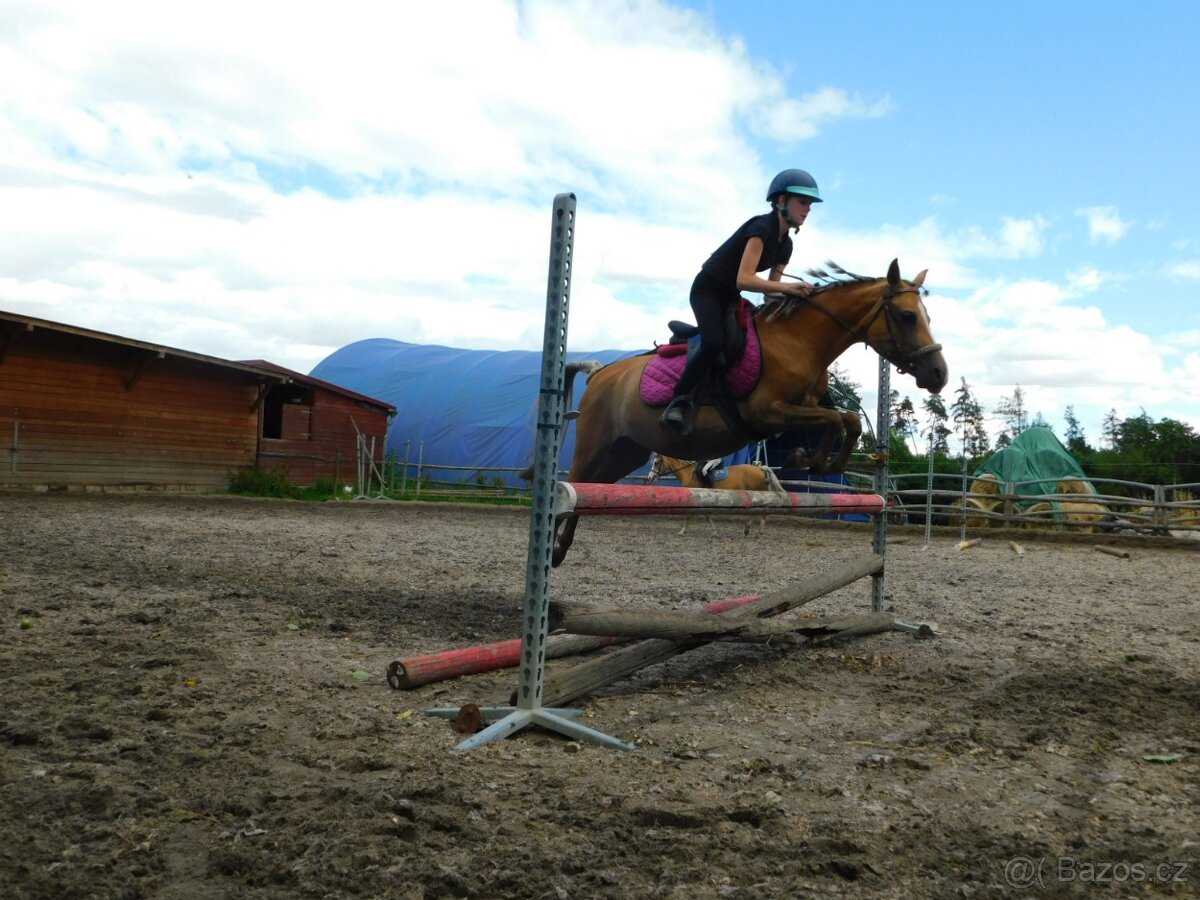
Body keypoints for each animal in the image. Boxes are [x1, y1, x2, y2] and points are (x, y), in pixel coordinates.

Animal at [649, 453, 788, 536]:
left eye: (656, 463)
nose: (650, 477)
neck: (688, 472)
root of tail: (759, 468)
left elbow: (691, 515)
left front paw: (682, 531)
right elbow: (707, 515)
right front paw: (715, 531)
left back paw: (759, 530)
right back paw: (747, 529)